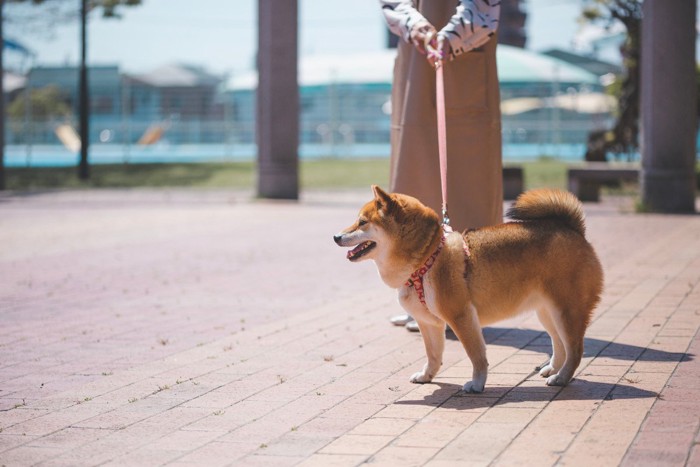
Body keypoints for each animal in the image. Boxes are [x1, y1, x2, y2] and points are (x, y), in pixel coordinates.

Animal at [334, 186, 600, 394]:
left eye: (362, 222)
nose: (336, 236)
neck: (426, 260)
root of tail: (573, 230)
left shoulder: (461, 317)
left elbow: (476, 355)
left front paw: (477, 384)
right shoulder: (429, 323)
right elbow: (433, 355)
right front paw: (427, 376)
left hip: (565, 311)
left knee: (575, 350)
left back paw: (562, 377)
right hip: (546, 312)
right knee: (560, 345)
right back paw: (552, 369)